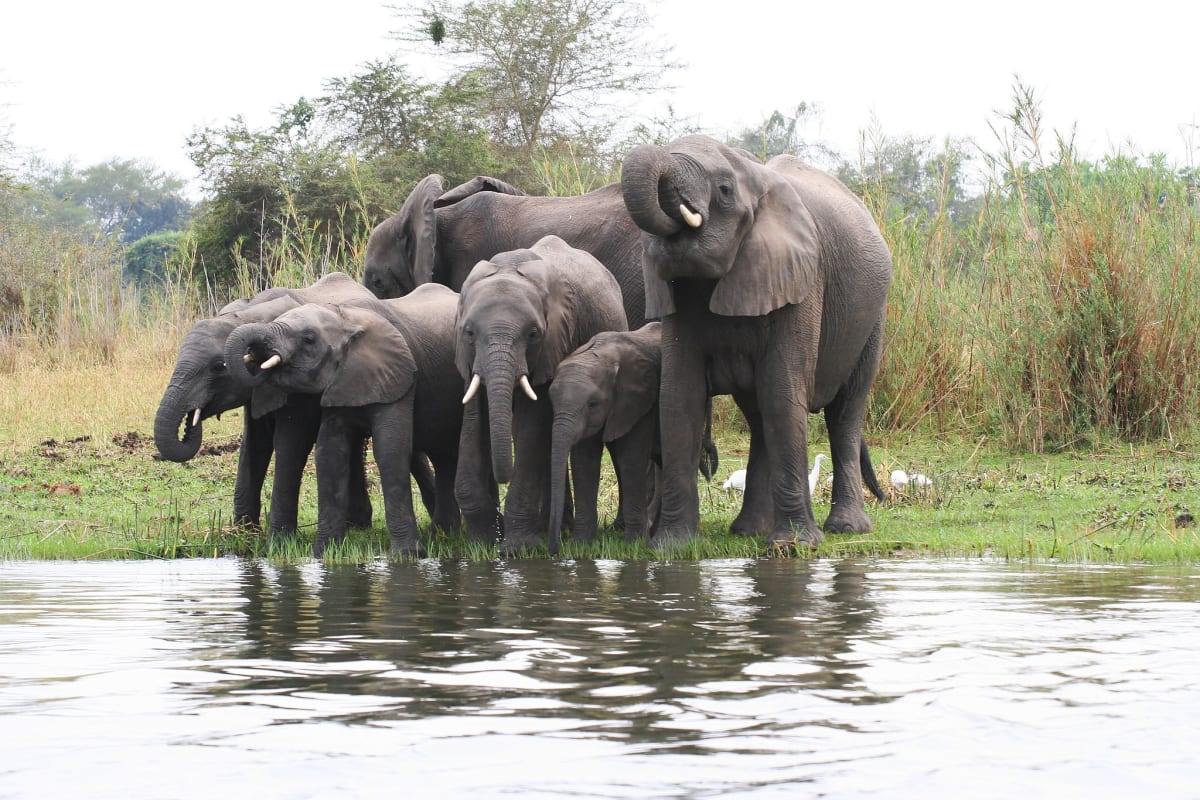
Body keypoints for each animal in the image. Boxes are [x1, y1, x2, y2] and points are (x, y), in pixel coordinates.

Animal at [223, 284, 464, 556]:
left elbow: (390, 450)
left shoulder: (398, 377)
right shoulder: (340, 382)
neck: (345, 319)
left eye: (309, 339)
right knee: (444, 456)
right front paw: (324, 554)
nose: (255, 357)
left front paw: (407, 556)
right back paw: (444, 533)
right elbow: (330, 451)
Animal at [454, 235, 628, 553]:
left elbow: (532, 423)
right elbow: (473, 419)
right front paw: (480, 544)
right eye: (469, 332)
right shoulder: (467, 358)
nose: (501, 477)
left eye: (533, 334)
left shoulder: (555, 342)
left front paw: (516, 549)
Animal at [547, 323, 664, 554]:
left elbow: (631, 457)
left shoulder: (639, 400)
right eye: (551, 400)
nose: (555, 549)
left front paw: (636, 546)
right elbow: (584, 461)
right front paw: (580, 545)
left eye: (593, 404)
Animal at [620, 134, 890, 549]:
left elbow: (783, 392)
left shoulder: (802, 278)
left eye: (724, 190)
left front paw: (795, 546)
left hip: (871, 322)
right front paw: (672, 546)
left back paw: (846, 528)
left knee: (844, 412)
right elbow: (680, 398)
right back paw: (750, 530)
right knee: (760, 415)